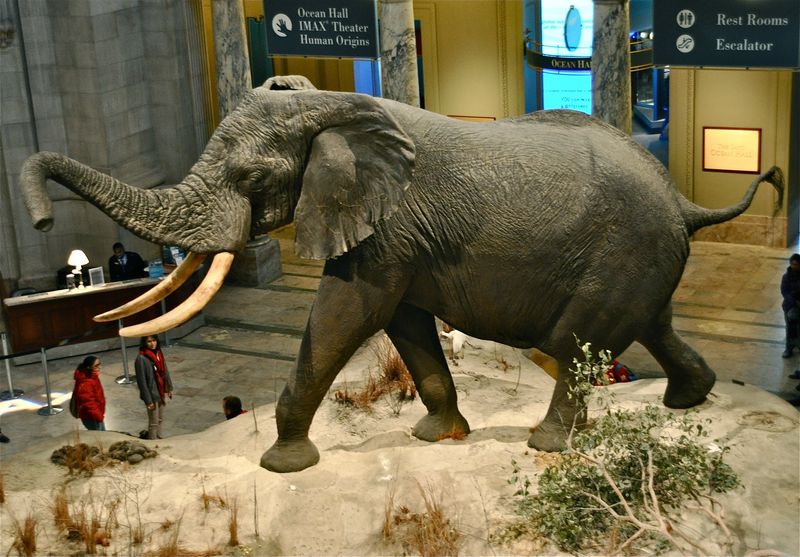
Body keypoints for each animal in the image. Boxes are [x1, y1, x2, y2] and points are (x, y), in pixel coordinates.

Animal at [19, 76, 784, 473]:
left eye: (251, 177)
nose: (43, 225)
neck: (328, 105)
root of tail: (683, 201)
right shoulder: (403, 241)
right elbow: (406, 324)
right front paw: (436, 437)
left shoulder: (385, 232)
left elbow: (344, 315)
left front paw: (284, 464)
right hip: (643, 260)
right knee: (652, 327)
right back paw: (688, 402)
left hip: (620, 255)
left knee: (573, 346)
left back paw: (548, 444)